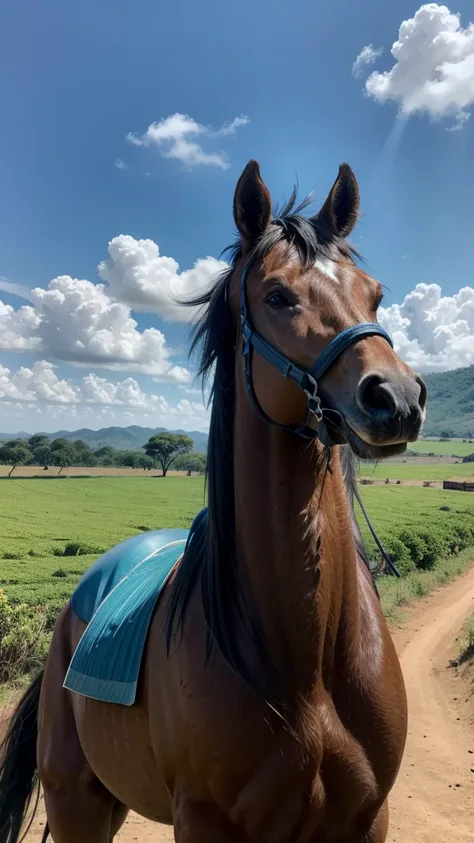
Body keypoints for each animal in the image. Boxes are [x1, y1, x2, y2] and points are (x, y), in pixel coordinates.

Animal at [0, 160, 426, 843]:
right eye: (277, 296)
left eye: (377, 294)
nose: (395, 397)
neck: (306, 665)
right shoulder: (204, 821)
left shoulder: (367, 818)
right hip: (74, 802)